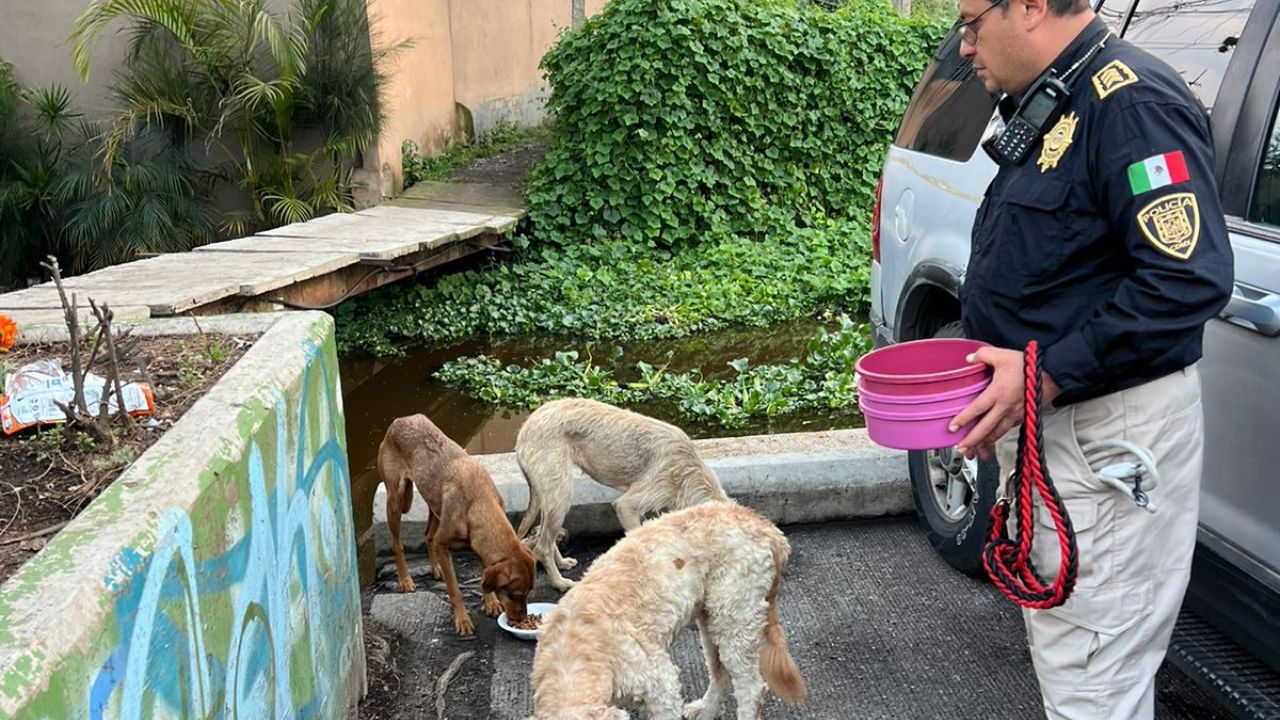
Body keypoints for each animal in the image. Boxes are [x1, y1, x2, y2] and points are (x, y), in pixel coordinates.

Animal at [373, 412, 535, 630]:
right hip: (396, 499)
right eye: (515, 594)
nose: (521, 620)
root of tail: (401, 419)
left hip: (434, 504)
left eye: (528, 593)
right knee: (397, 544)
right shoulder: (444, 545)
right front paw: (462, 620)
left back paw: (436, 568)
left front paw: (491, 602)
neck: (479, 501)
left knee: (428, 536)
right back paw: (405, 580)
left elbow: (483, 574)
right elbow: (455, 590)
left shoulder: (477, 545)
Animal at [512, 397, 732, 589]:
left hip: (550, 496)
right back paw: (559, 583)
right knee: (542, 547)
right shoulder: (627, 506)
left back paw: (561, 563)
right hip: (561, 495)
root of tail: (525, 427)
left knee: (545, 535)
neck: (690, 472)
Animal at [524, 499, 803, 717]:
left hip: (736, 617)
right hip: (711, 621)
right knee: (720, 675)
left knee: (750, 688)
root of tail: (765, 526)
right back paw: (704, 709)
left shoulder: (660, 682)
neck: (574, 652)